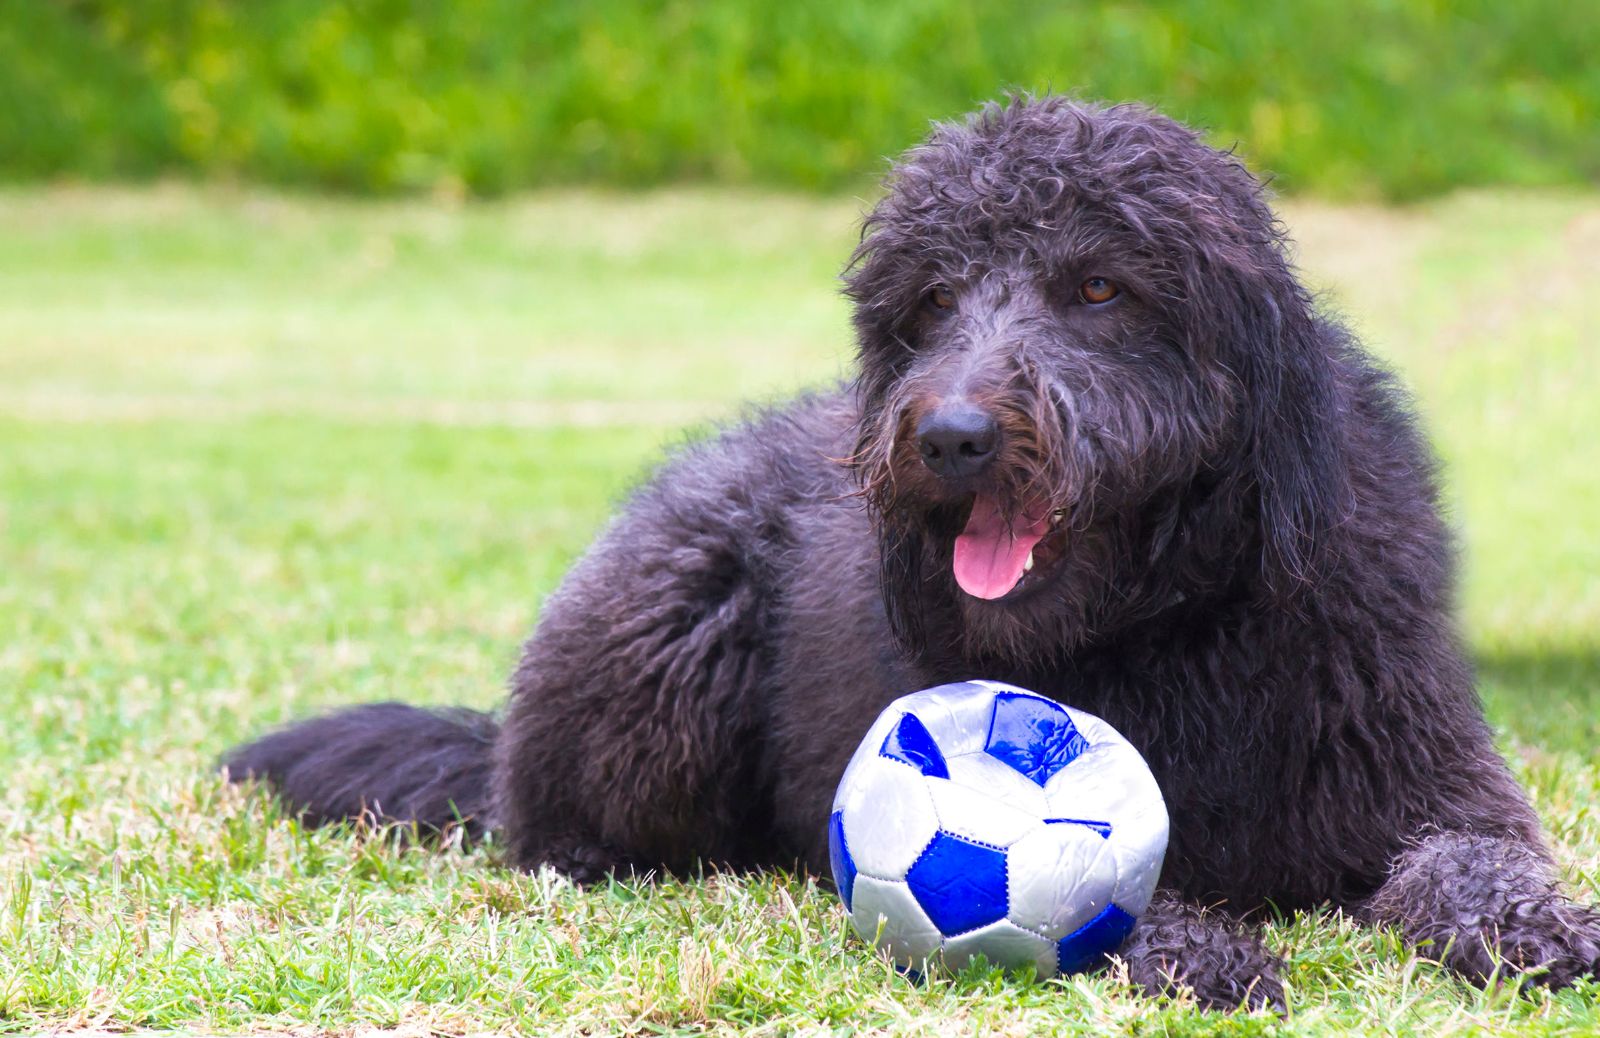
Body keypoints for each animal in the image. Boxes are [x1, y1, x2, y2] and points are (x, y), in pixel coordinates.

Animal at [228, 97, 1600, 1004]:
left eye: (1100, 288)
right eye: (934, 300)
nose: (948, 438)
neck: (1171, 618)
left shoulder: (1423, 783)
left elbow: (1468, 860)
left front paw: (1534, 930)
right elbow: (1119, 894)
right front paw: (1202, 947)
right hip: (658, 664)